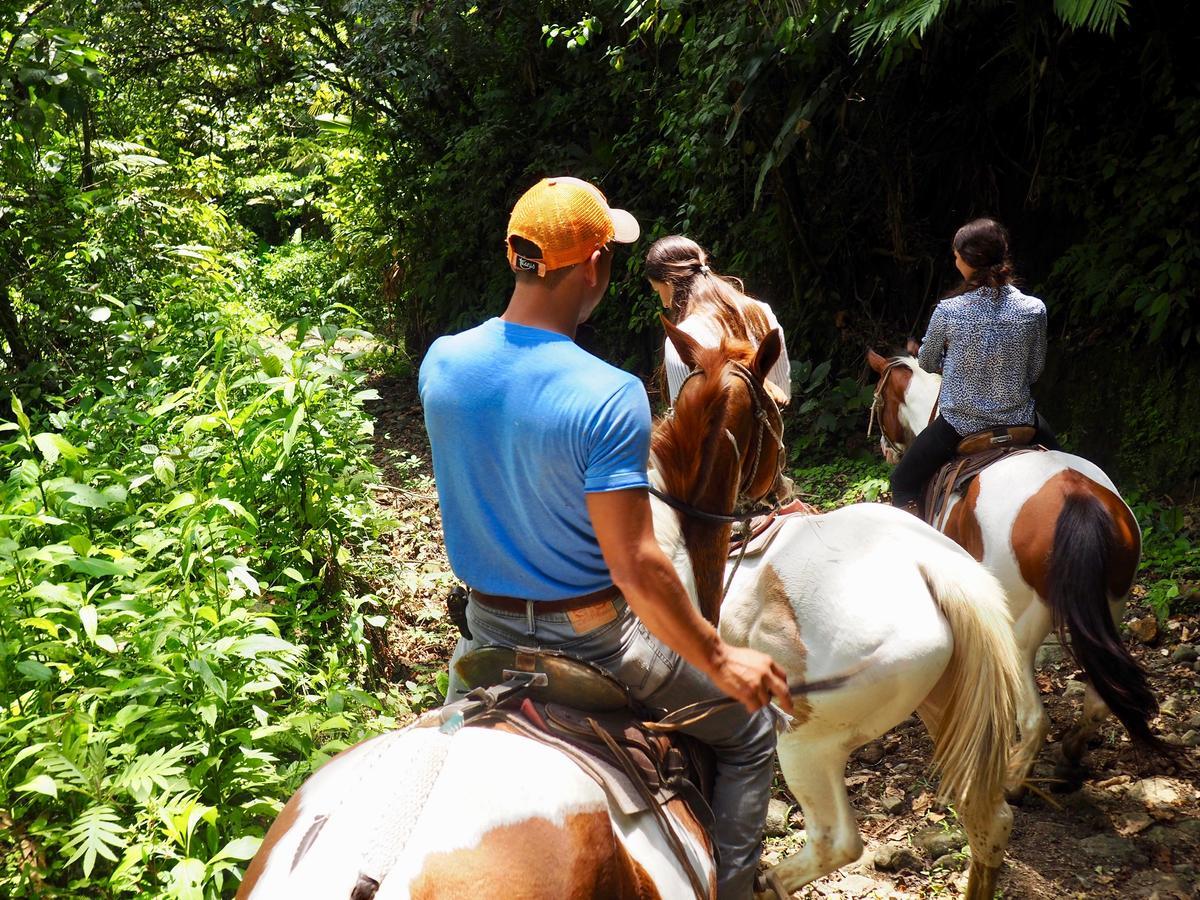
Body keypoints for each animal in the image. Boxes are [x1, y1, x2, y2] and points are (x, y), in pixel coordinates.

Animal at [873, 348, 1161, 801]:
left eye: (879, 398)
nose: (885, 448)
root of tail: (1075, 497)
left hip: (1020, 623)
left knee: (1034, 715)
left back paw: (1014, 780)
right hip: (1110, 609)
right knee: (1099, 700)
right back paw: (1068, 758)